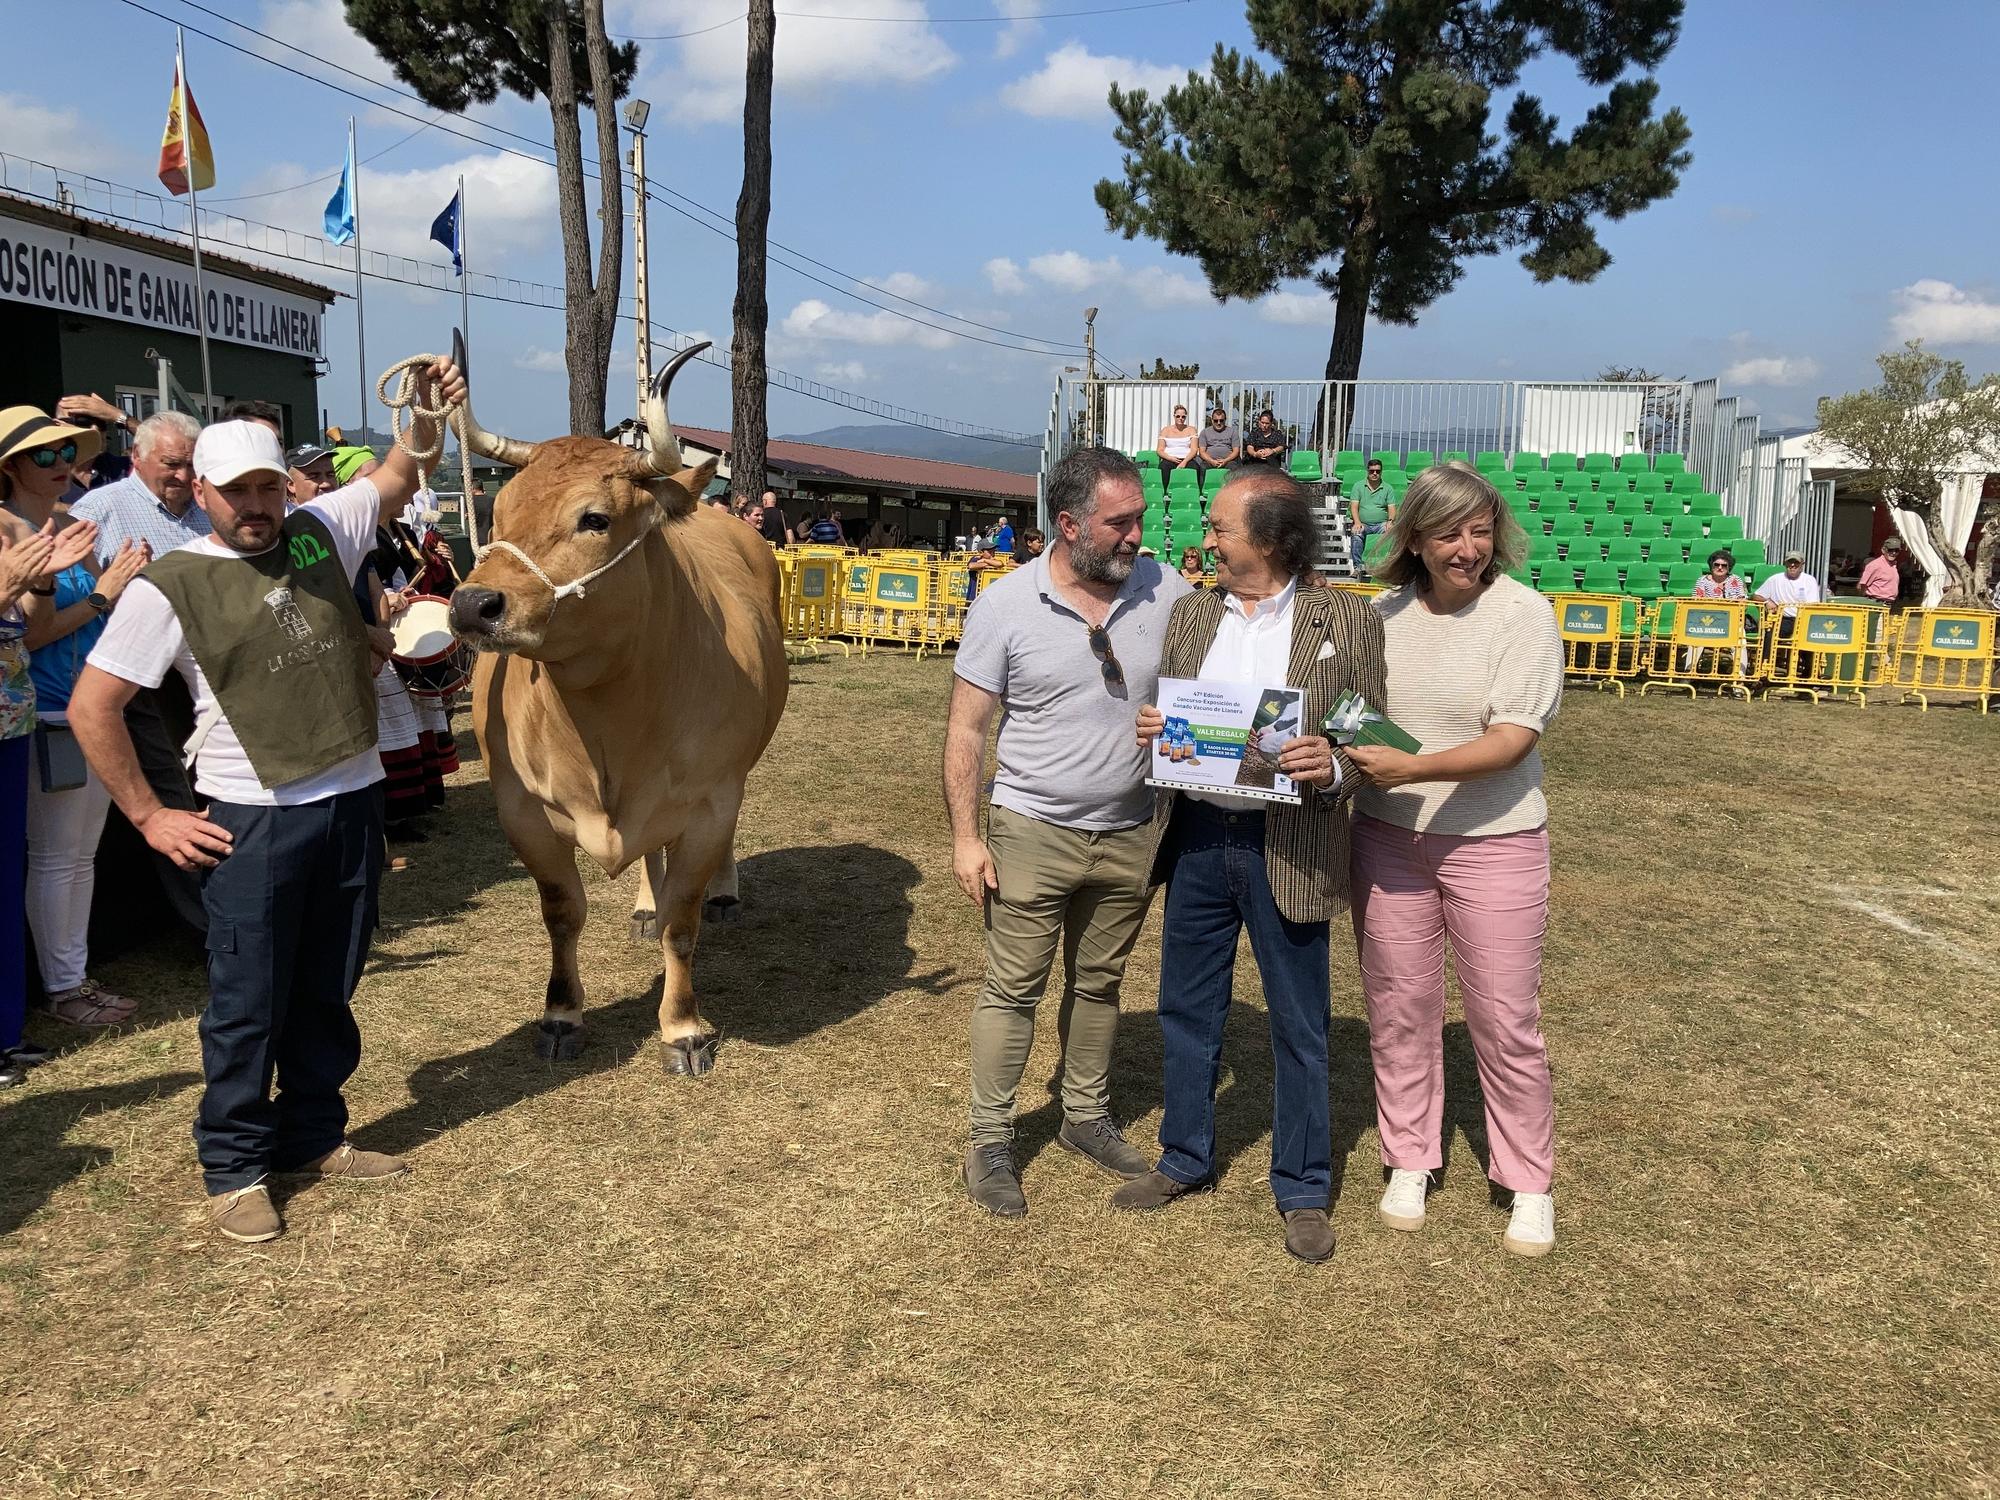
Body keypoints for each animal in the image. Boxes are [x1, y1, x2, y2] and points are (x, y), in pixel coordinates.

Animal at [452, 346, 788, 1072]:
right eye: (498, 512)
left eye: (594, 518)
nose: (471, 605)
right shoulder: (521, 809)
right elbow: (562, 912)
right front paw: (561, 1015)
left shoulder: (709, 800)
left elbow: (683, 924)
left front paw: (683, 1027)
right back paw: (641, 904)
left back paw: (723, 890)